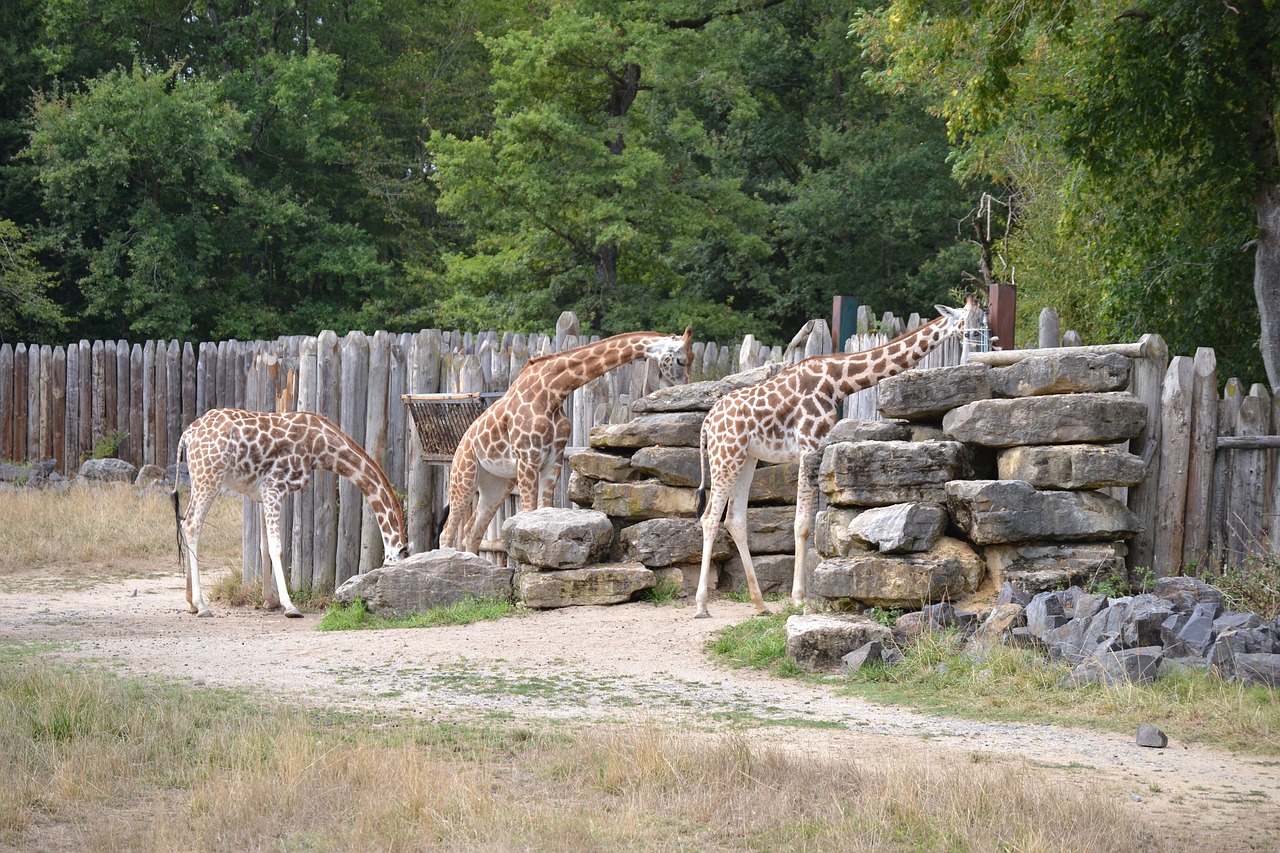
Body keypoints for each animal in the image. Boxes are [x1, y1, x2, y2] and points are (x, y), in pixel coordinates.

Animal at [172, 409, 407, 614]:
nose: (389, 593)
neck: (320, 447)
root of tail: (187, 434)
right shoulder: (274, 488)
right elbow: (277, 547)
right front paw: (289, 606)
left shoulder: (260, 494)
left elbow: (264, 545)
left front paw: (269, 601)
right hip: (210, 477)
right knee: (192, 525)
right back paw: (202, 606)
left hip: (198, 478)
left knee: (184, 522)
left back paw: (190, 603)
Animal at [442, 325, 701, 550]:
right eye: (681, 360)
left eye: (693, 358)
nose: (686, 387)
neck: (552, 392)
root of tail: (460, 447)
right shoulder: (527, 460)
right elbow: (525, 515)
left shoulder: (553, 460)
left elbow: (540, 513)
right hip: (464, 476)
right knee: (448, 531)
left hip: (495, 483)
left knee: (471, 531)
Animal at [696, 298, 983, 617]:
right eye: (964, 321)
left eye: (982, 318)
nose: (978, 339)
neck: (838, 382)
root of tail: (707, 422)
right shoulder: (808, 444)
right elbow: (802, 525)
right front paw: (799, 599)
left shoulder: (817, 448)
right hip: (725, 454)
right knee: (709, 518)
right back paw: (701, 605)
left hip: (745, 457)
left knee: (734, 520)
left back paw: (760, 605)